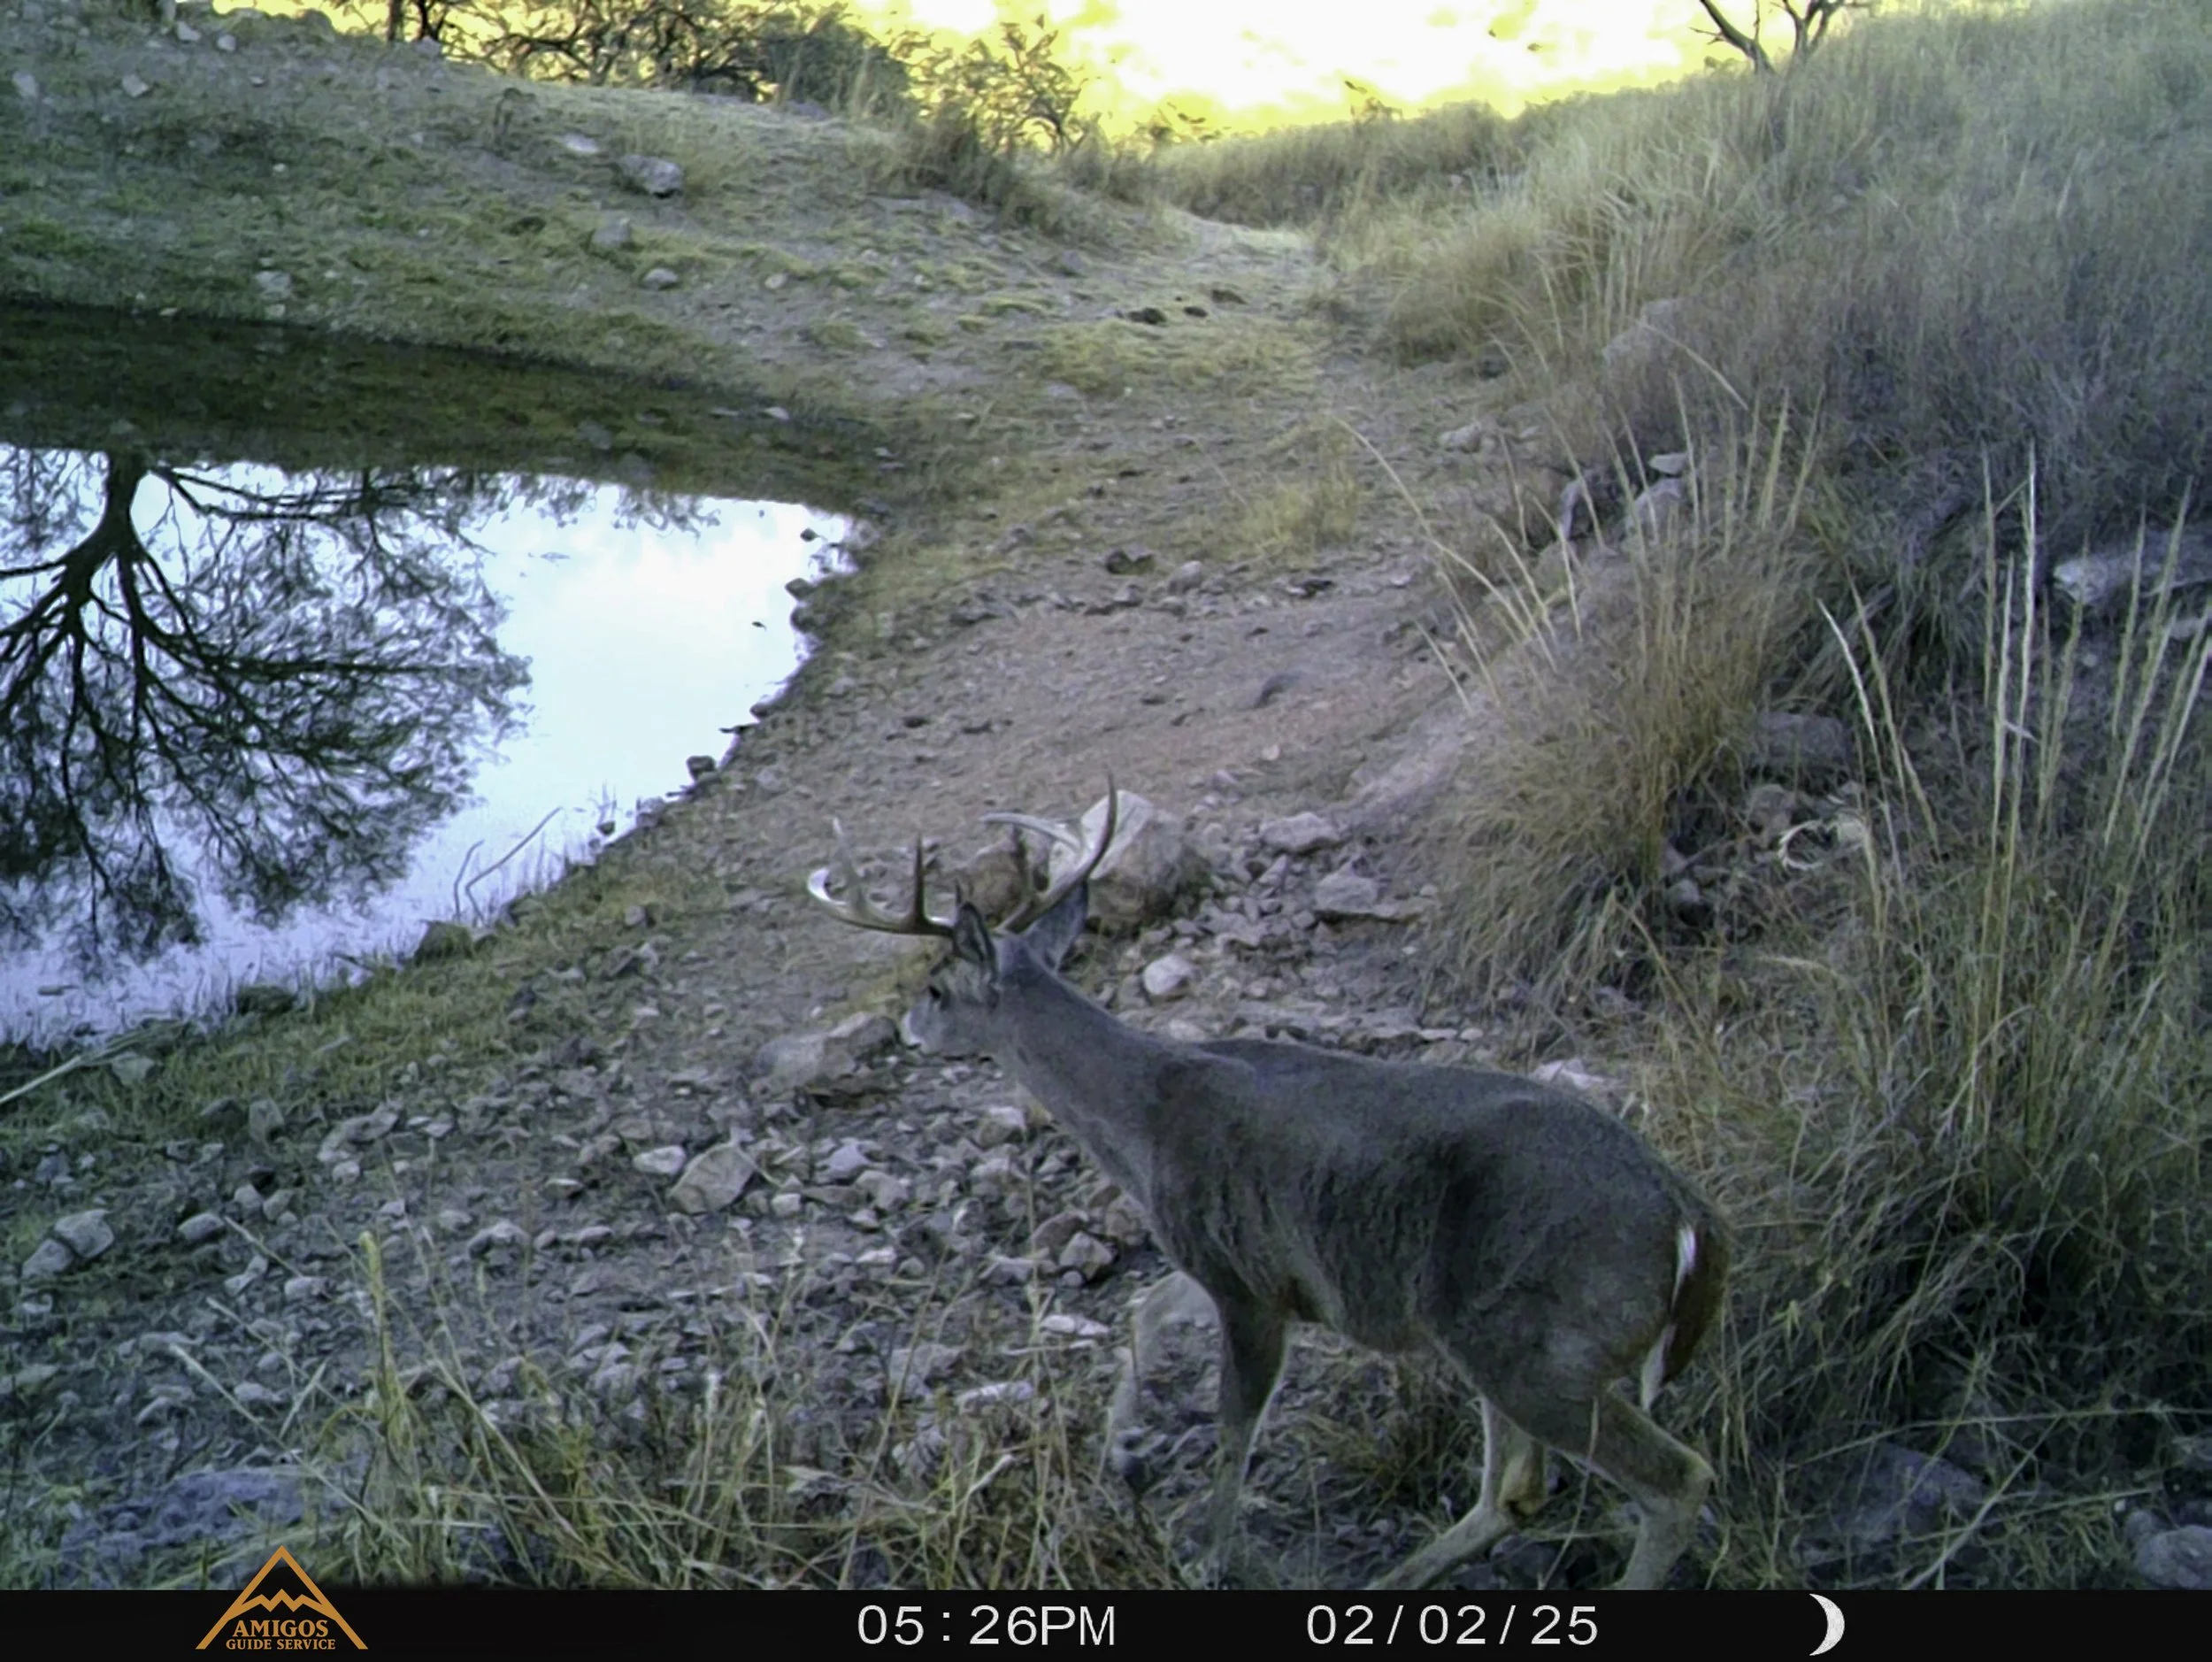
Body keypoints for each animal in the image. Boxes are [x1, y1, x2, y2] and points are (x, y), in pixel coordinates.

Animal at [807, 780, 1729, 1590]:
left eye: (935, 985)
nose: (908, 1024)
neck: (1146, 1120)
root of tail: (1689, 1222)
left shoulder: (1246, 1283)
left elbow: (1232, 1423)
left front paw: (1206, 1558)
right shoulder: (1224, 1258)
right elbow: (1142, 1311)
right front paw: (1122, 1451)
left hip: (1538, 1347)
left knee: (1677, 1479)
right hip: (1497, 1341)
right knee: (1518, 1490)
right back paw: (1397, 1578)